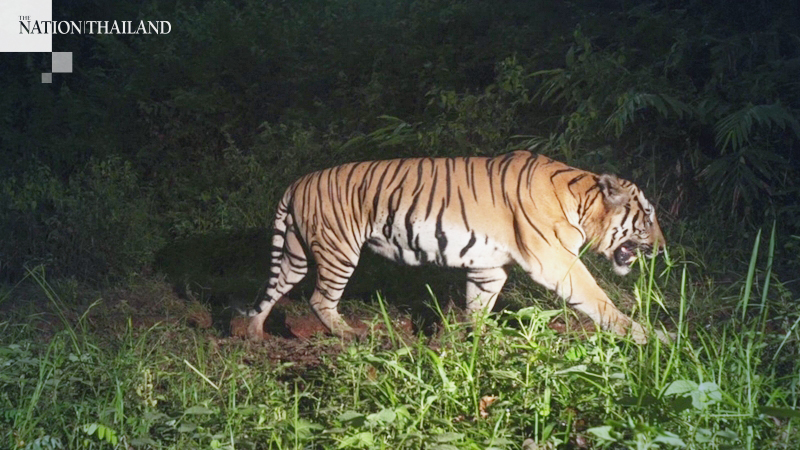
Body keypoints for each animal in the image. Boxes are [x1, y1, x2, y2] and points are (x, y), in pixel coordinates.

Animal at [247, 151, 666, 344]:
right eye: (647, 217)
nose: (663, 249)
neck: (581, 200)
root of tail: (296, 183)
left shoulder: (488, 267)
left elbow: (479, 305)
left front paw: (471, 340)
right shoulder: (555, 260)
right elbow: (598, 298)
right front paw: (648, 337)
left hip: (297, 254)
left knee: (271, 291)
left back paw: (253, 335)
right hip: (339, 251)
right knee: (320, 299)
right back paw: (349, 335)